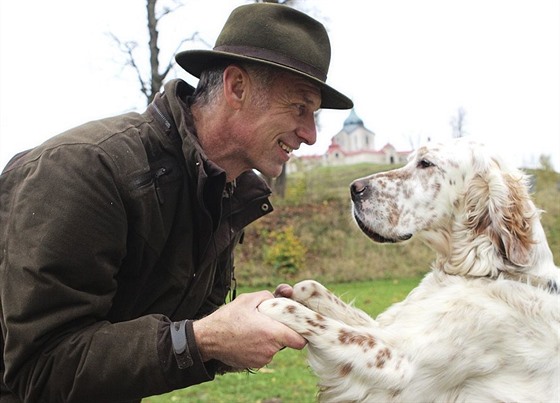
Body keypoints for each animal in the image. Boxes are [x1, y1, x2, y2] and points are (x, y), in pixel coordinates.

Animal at [260, 138, 556, 400]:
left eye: (425, 163)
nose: (354, 188)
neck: (483, 271)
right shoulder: (386, 328)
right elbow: (309, 287)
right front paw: (289, 292)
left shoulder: (399, 366)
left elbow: (302, 316)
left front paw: (271, 306)